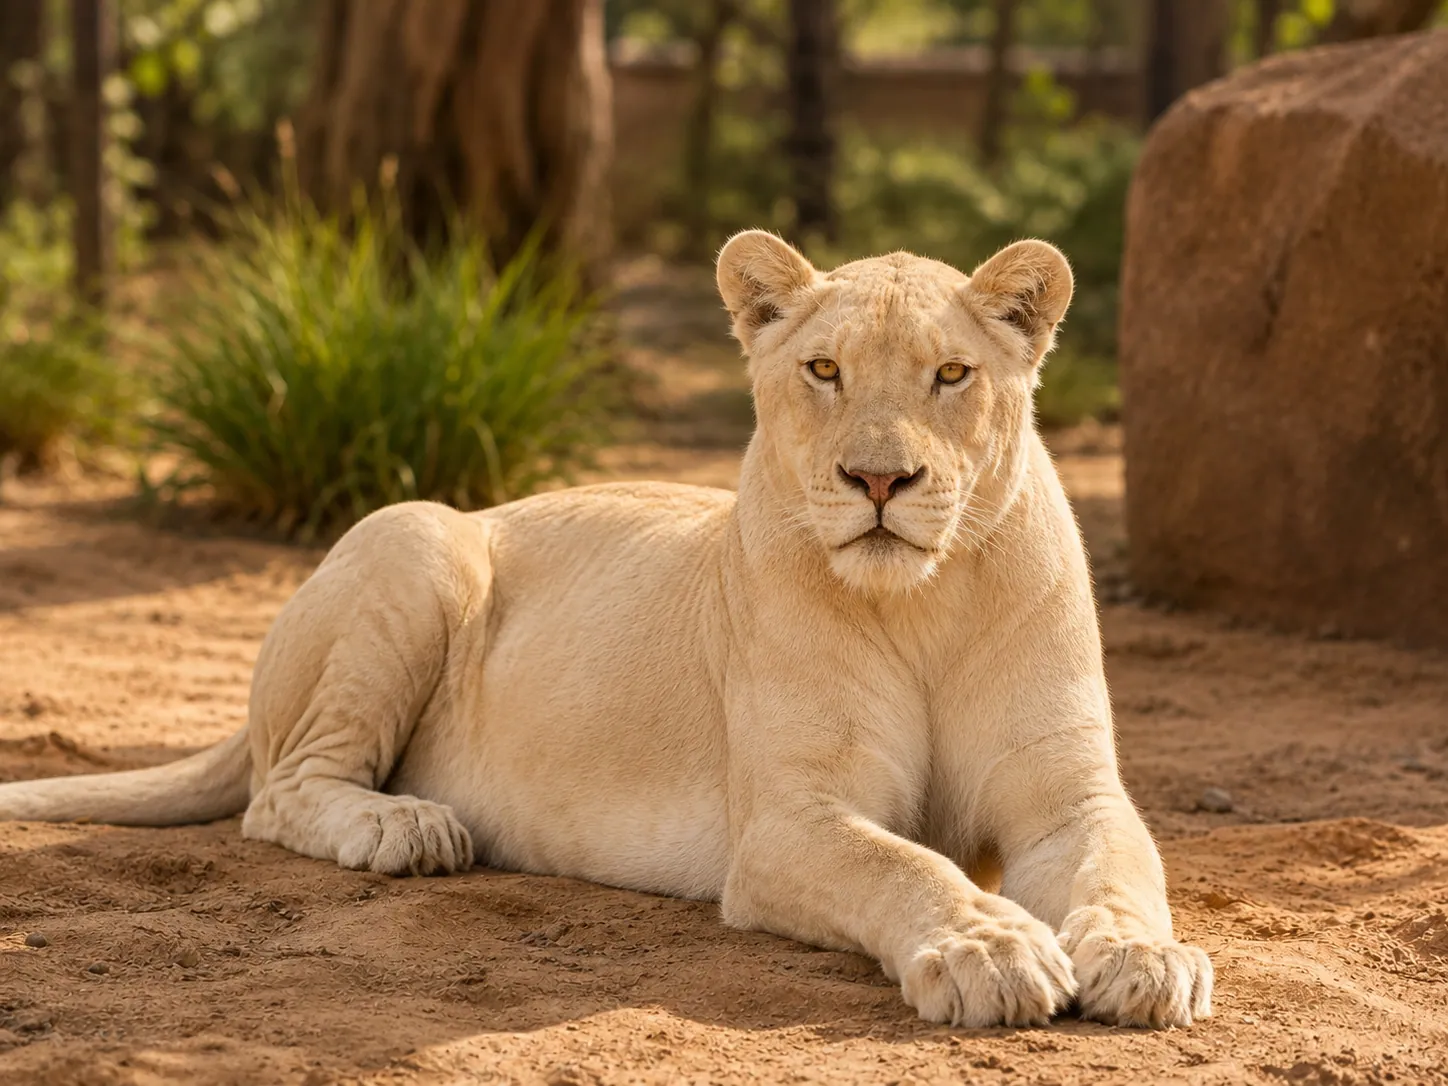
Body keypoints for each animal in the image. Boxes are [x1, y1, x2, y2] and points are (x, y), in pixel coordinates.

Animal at [0, 231, 1212, 1029]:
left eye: (951, 374)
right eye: (822, 369)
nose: (878, 481)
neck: (921, 602)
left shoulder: (1066, 797)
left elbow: (1119, 868)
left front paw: (1148, 960)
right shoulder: (787, 823)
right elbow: (903, 866)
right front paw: (989, 948)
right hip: (416, 539)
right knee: (279, 791)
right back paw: (407, 828)